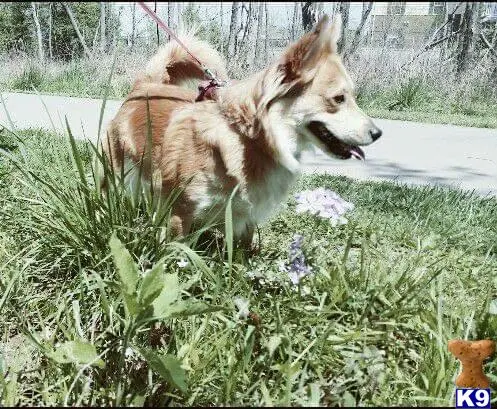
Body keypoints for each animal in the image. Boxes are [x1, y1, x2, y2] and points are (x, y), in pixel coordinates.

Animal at [100, 15, 380, 249]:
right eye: (339, 99)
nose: (378, 134)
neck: (248, 139)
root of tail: (144, 85)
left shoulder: (245, 219)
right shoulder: (180, 212)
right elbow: (178, 254)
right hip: (113, 174)